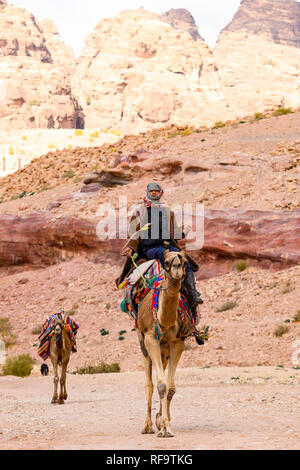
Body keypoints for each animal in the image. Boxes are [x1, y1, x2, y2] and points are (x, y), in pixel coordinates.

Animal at [136, 250, 190, 436]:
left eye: (185, 261)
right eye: (166, 261)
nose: (177, 267)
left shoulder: (177, 342)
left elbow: (170, 387)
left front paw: (164, 423)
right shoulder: (151, 338)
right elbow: (160, 385)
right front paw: (164, 427)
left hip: (164, 350)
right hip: (143, 343)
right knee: (149, 384)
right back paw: (147, 426)